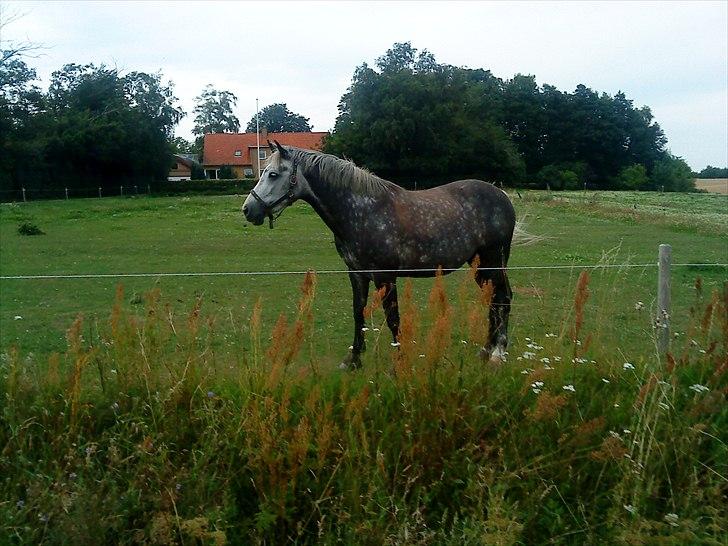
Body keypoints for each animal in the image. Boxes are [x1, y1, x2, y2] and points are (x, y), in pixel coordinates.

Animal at [246, 142, 524, 368]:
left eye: (273, 174)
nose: (249, 210)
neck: (363, 211)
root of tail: (502, 196)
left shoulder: (385, 277)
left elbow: (393, 318)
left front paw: (399, 361)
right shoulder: (357, 274)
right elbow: (358, 312)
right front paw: (354, 359)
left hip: (493, 260)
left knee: (503, 297)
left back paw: (498, 353)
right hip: (480, 266)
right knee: (493, 298)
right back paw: (486, 350)